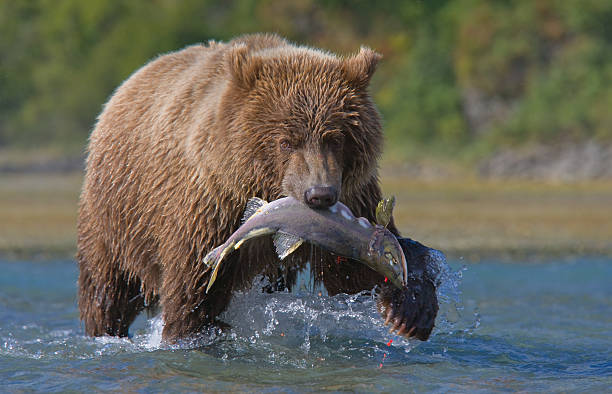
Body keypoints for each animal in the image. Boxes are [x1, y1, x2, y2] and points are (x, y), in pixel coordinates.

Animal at [77, 33, 440, 342]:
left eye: (335, 138)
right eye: (286, 141)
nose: (319, 194)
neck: (262, 187)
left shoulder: (353, 202)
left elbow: (356, 274)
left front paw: (409, 311)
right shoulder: (209, 204)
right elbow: (192, 288)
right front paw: (192, 331)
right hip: (116, 216)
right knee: (106, 288)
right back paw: (105, 329)